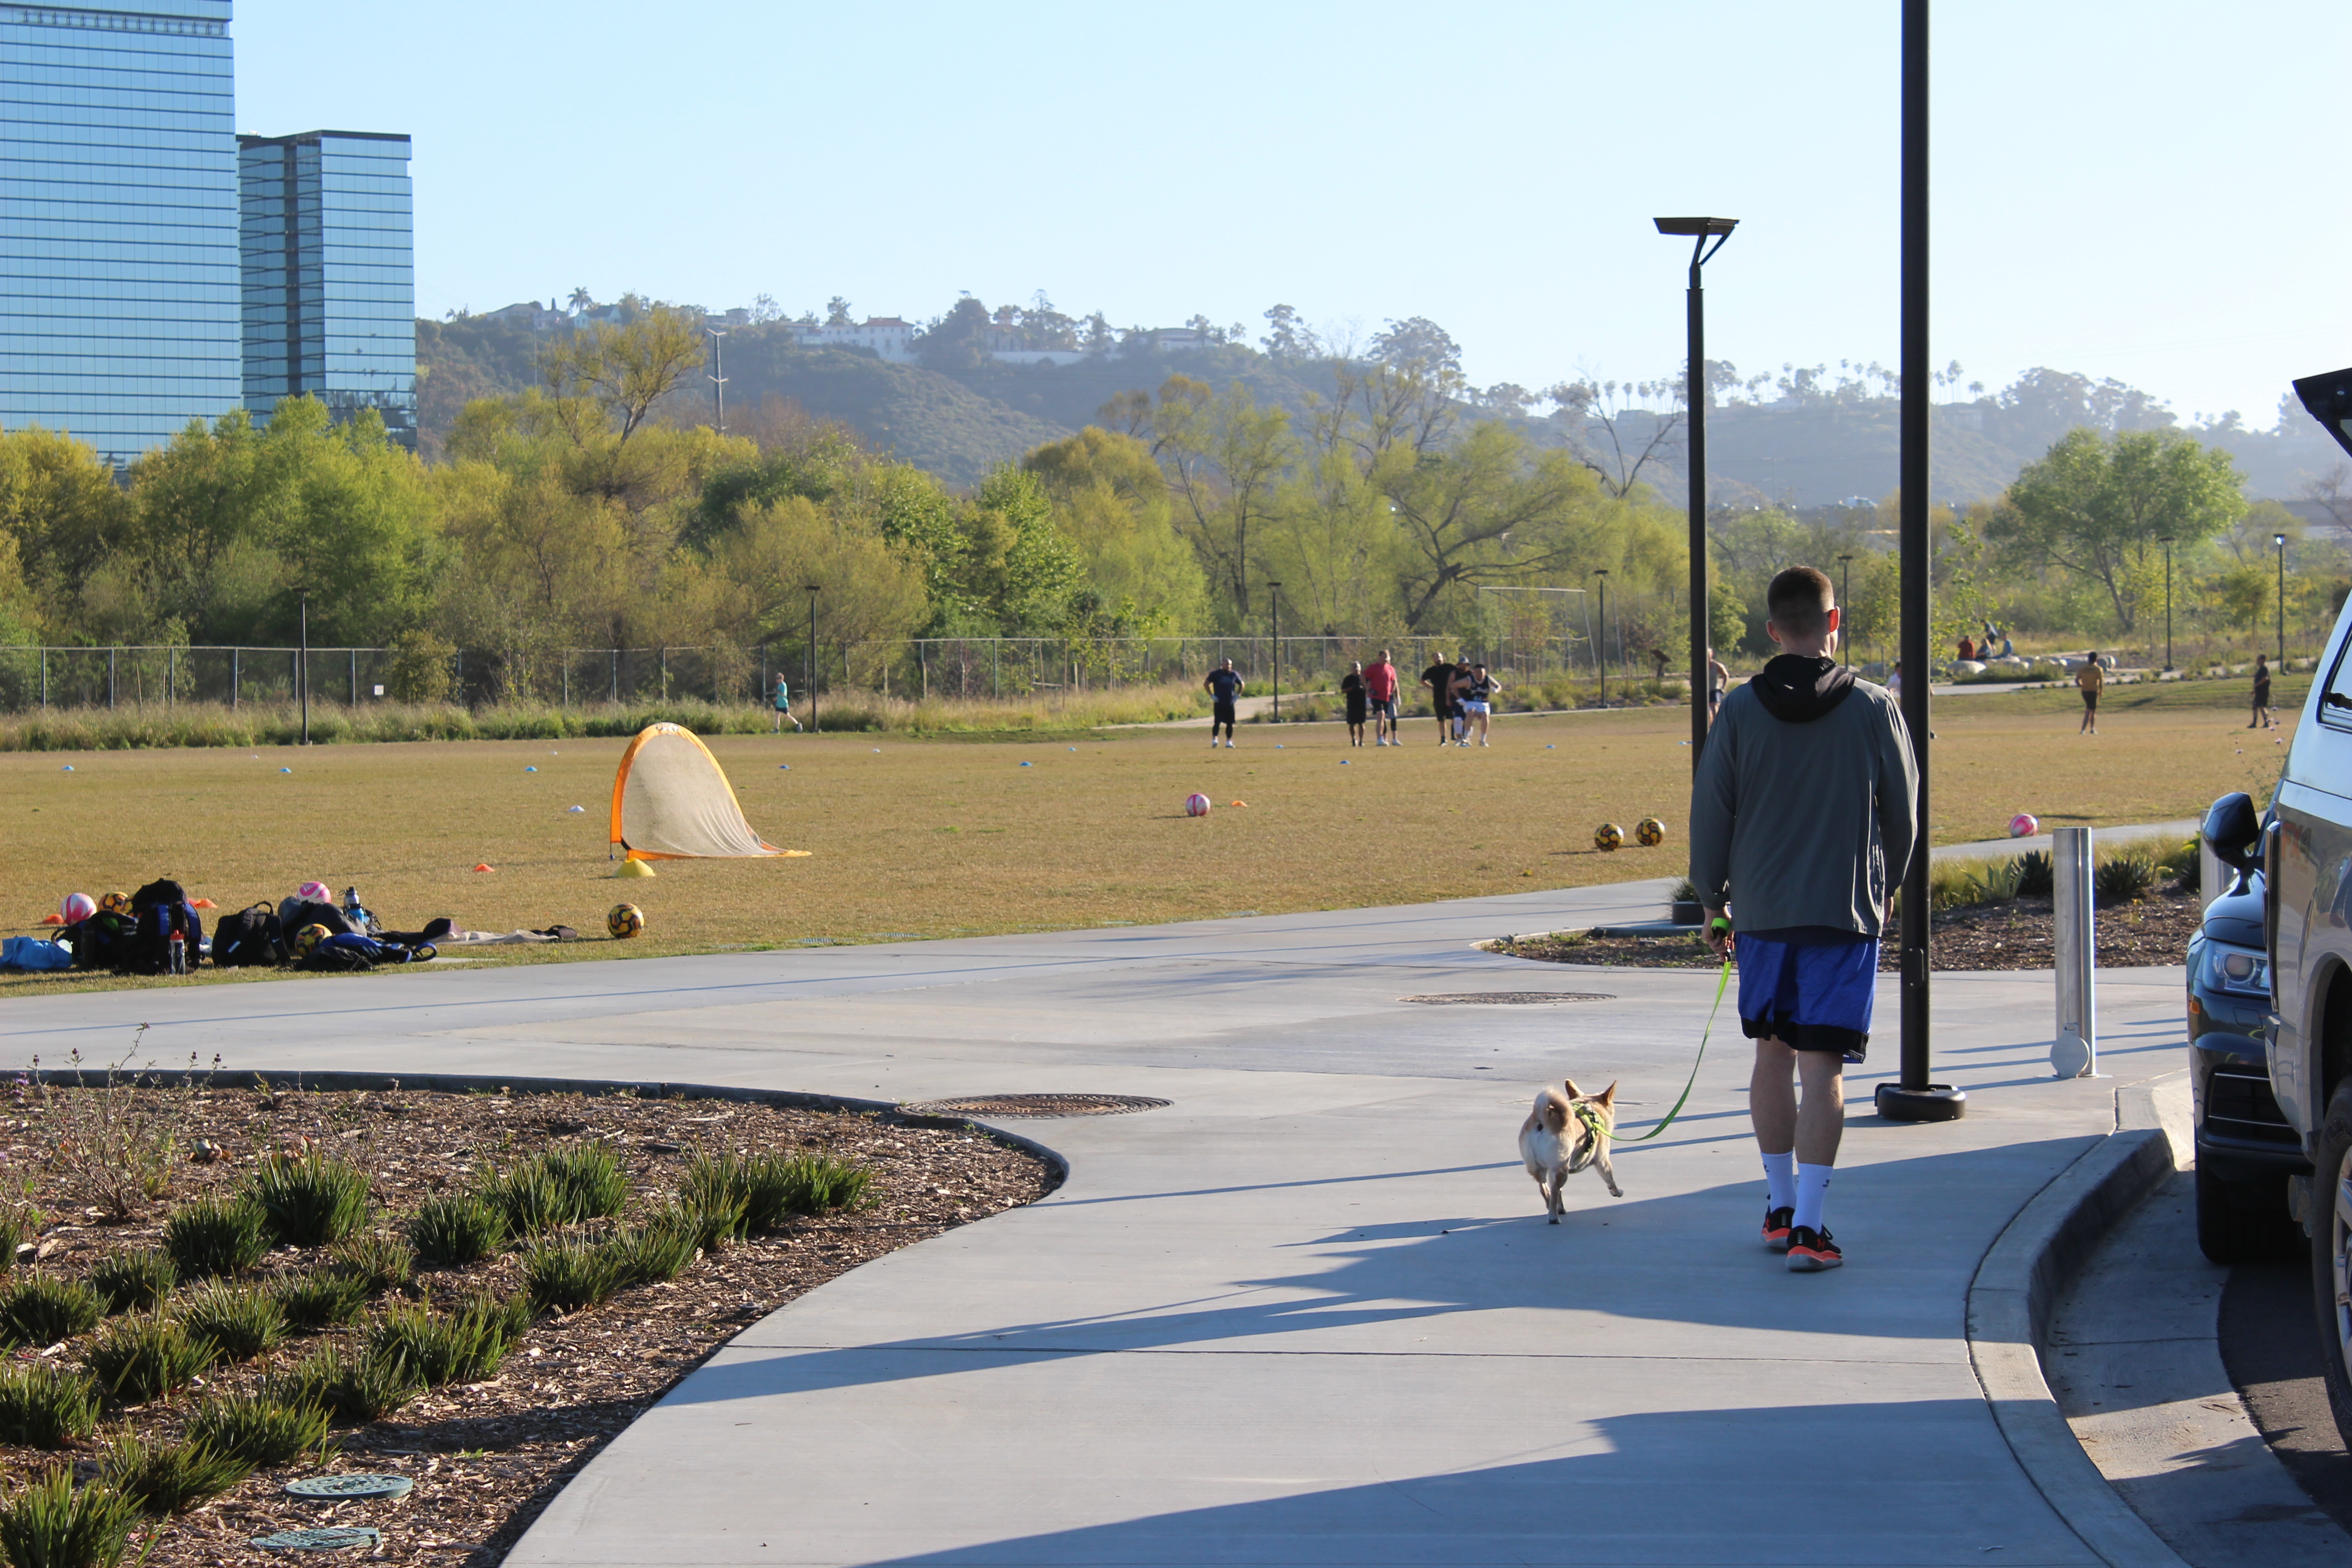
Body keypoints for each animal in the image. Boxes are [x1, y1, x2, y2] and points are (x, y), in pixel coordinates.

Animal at [1524, 1081, 1618, 1222]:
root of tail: (1543, 1118)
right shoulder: (1602, 1160)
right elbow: (1609, 1177)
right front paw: (1616, 1191)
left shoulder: (1552, 1172)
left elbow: (1558, 1192)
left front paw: (1561, 1207)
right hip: (1562, 1169)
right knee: (1555, 1190)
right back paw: (1553, 1217)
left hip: (1540, 1168)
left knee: (1545, 1188)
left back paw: (1553, 1208)